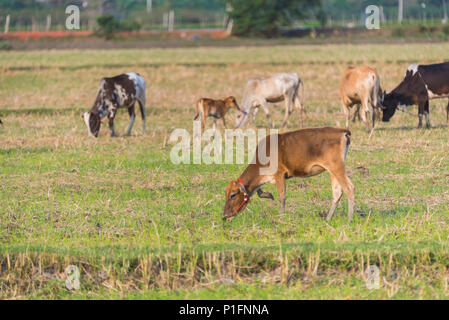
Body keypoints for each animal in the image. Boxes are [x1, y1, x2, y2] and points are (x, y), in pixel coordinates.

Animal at [222, 127, 356, 222]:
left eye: (233, 195)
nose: (224, 216)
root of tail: (342, 131)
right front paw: (268, 195)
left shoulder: (280, 175)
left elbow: (282, 197)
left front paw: (281, 218)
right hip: (332, 171)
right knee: (337, 193)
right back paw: (328, 218)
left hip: (337, 167)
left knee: (349, 188)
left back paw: (349, 220)